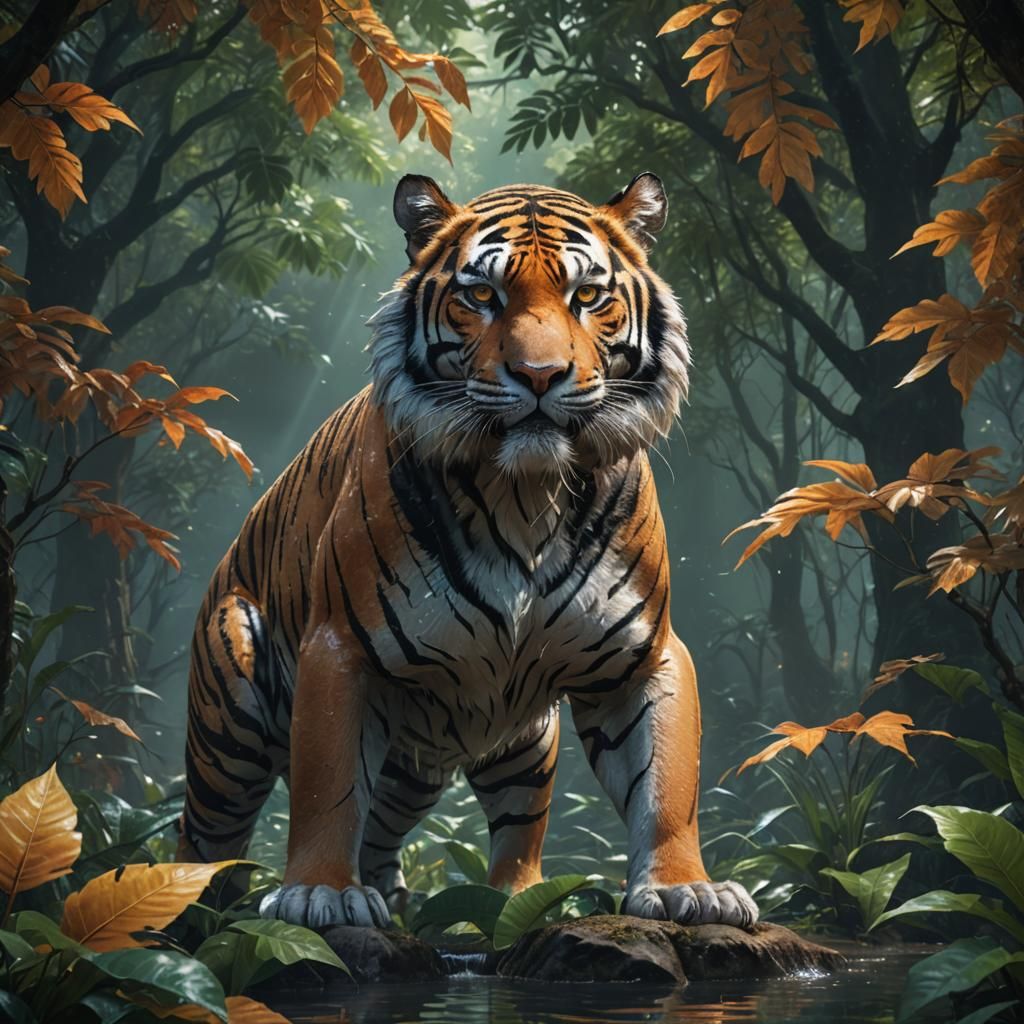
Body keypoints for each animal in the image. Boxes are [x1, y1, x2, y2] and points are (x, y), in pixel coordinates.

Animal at [177, 172, 758, 931]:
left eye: (587, 296)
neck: (526, 495)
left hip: (506, 744)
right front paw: (319, 894)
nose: (540, 375)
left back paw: (505, 902)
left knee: (499, 829)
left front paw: (688, 888)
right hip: (232, 721)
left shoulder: (645, 655)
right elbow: (327, 785)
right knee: (205, 840)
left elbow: (668, 784)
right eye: (482, 296)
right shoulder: (340, 649)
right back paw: (190, 916)